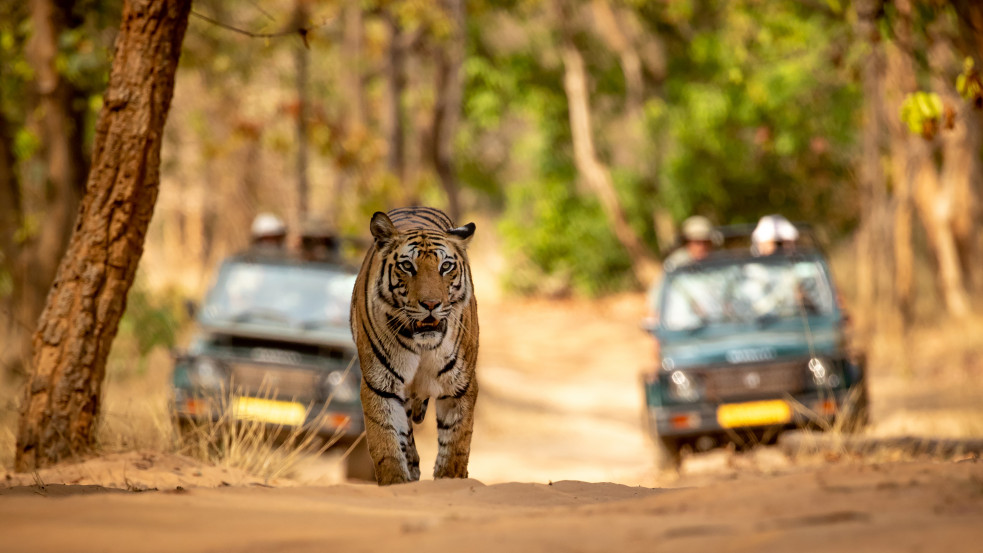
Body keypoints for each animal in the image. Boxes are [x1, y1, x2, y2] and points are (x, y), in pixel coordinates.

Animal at [350, 206, 480, 484]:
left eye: (446, 266)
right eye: (407, 266)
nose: (431, 304)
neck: (422, 346)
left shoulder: (460, 386)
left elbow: (455, 444)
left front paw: (450, 479)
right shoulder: (380, 386)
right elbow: (386, 443)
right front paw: (396, 481)